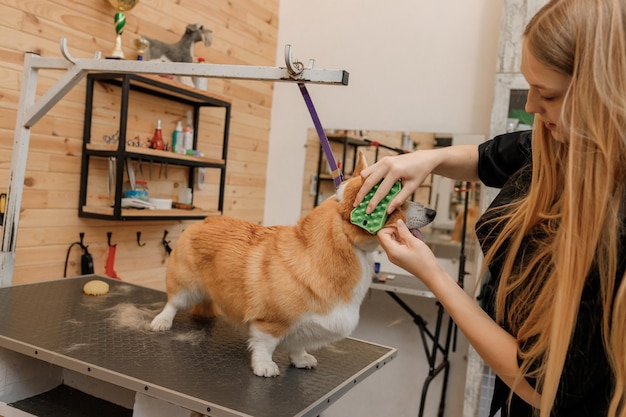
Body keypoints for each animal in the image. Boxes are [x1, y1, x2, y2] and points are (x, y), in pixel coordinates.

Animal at [151, 151, 434, 376]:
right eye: (398, 203)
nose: (433, 213)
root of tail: (203, 220)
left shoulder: (306, 328)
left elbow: (299, 345)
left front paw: (301, 360)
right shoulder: (269, 323)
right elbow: (265, 345)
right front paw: (264, 367)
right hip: (185, 284)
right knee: (172, 303)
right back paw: (161, 322)